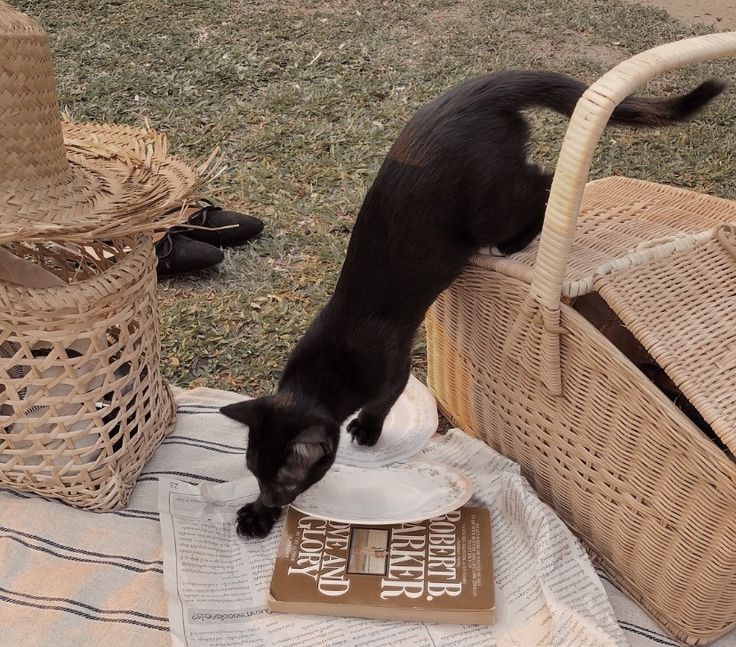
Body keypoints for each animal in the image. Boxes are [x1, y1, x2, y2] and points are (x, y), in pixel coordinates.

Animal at [220, 69, 724, 536]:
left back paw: (513, 239)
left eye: (286, 482)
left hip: (491, 207)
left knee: (546, 185)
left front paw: (366, 429)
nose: (270, 497)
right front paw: (257, 515)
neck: (324, 370)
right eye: (255, 475)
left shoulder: (392, 368)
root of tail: (474, 93)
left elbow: (385, 399)